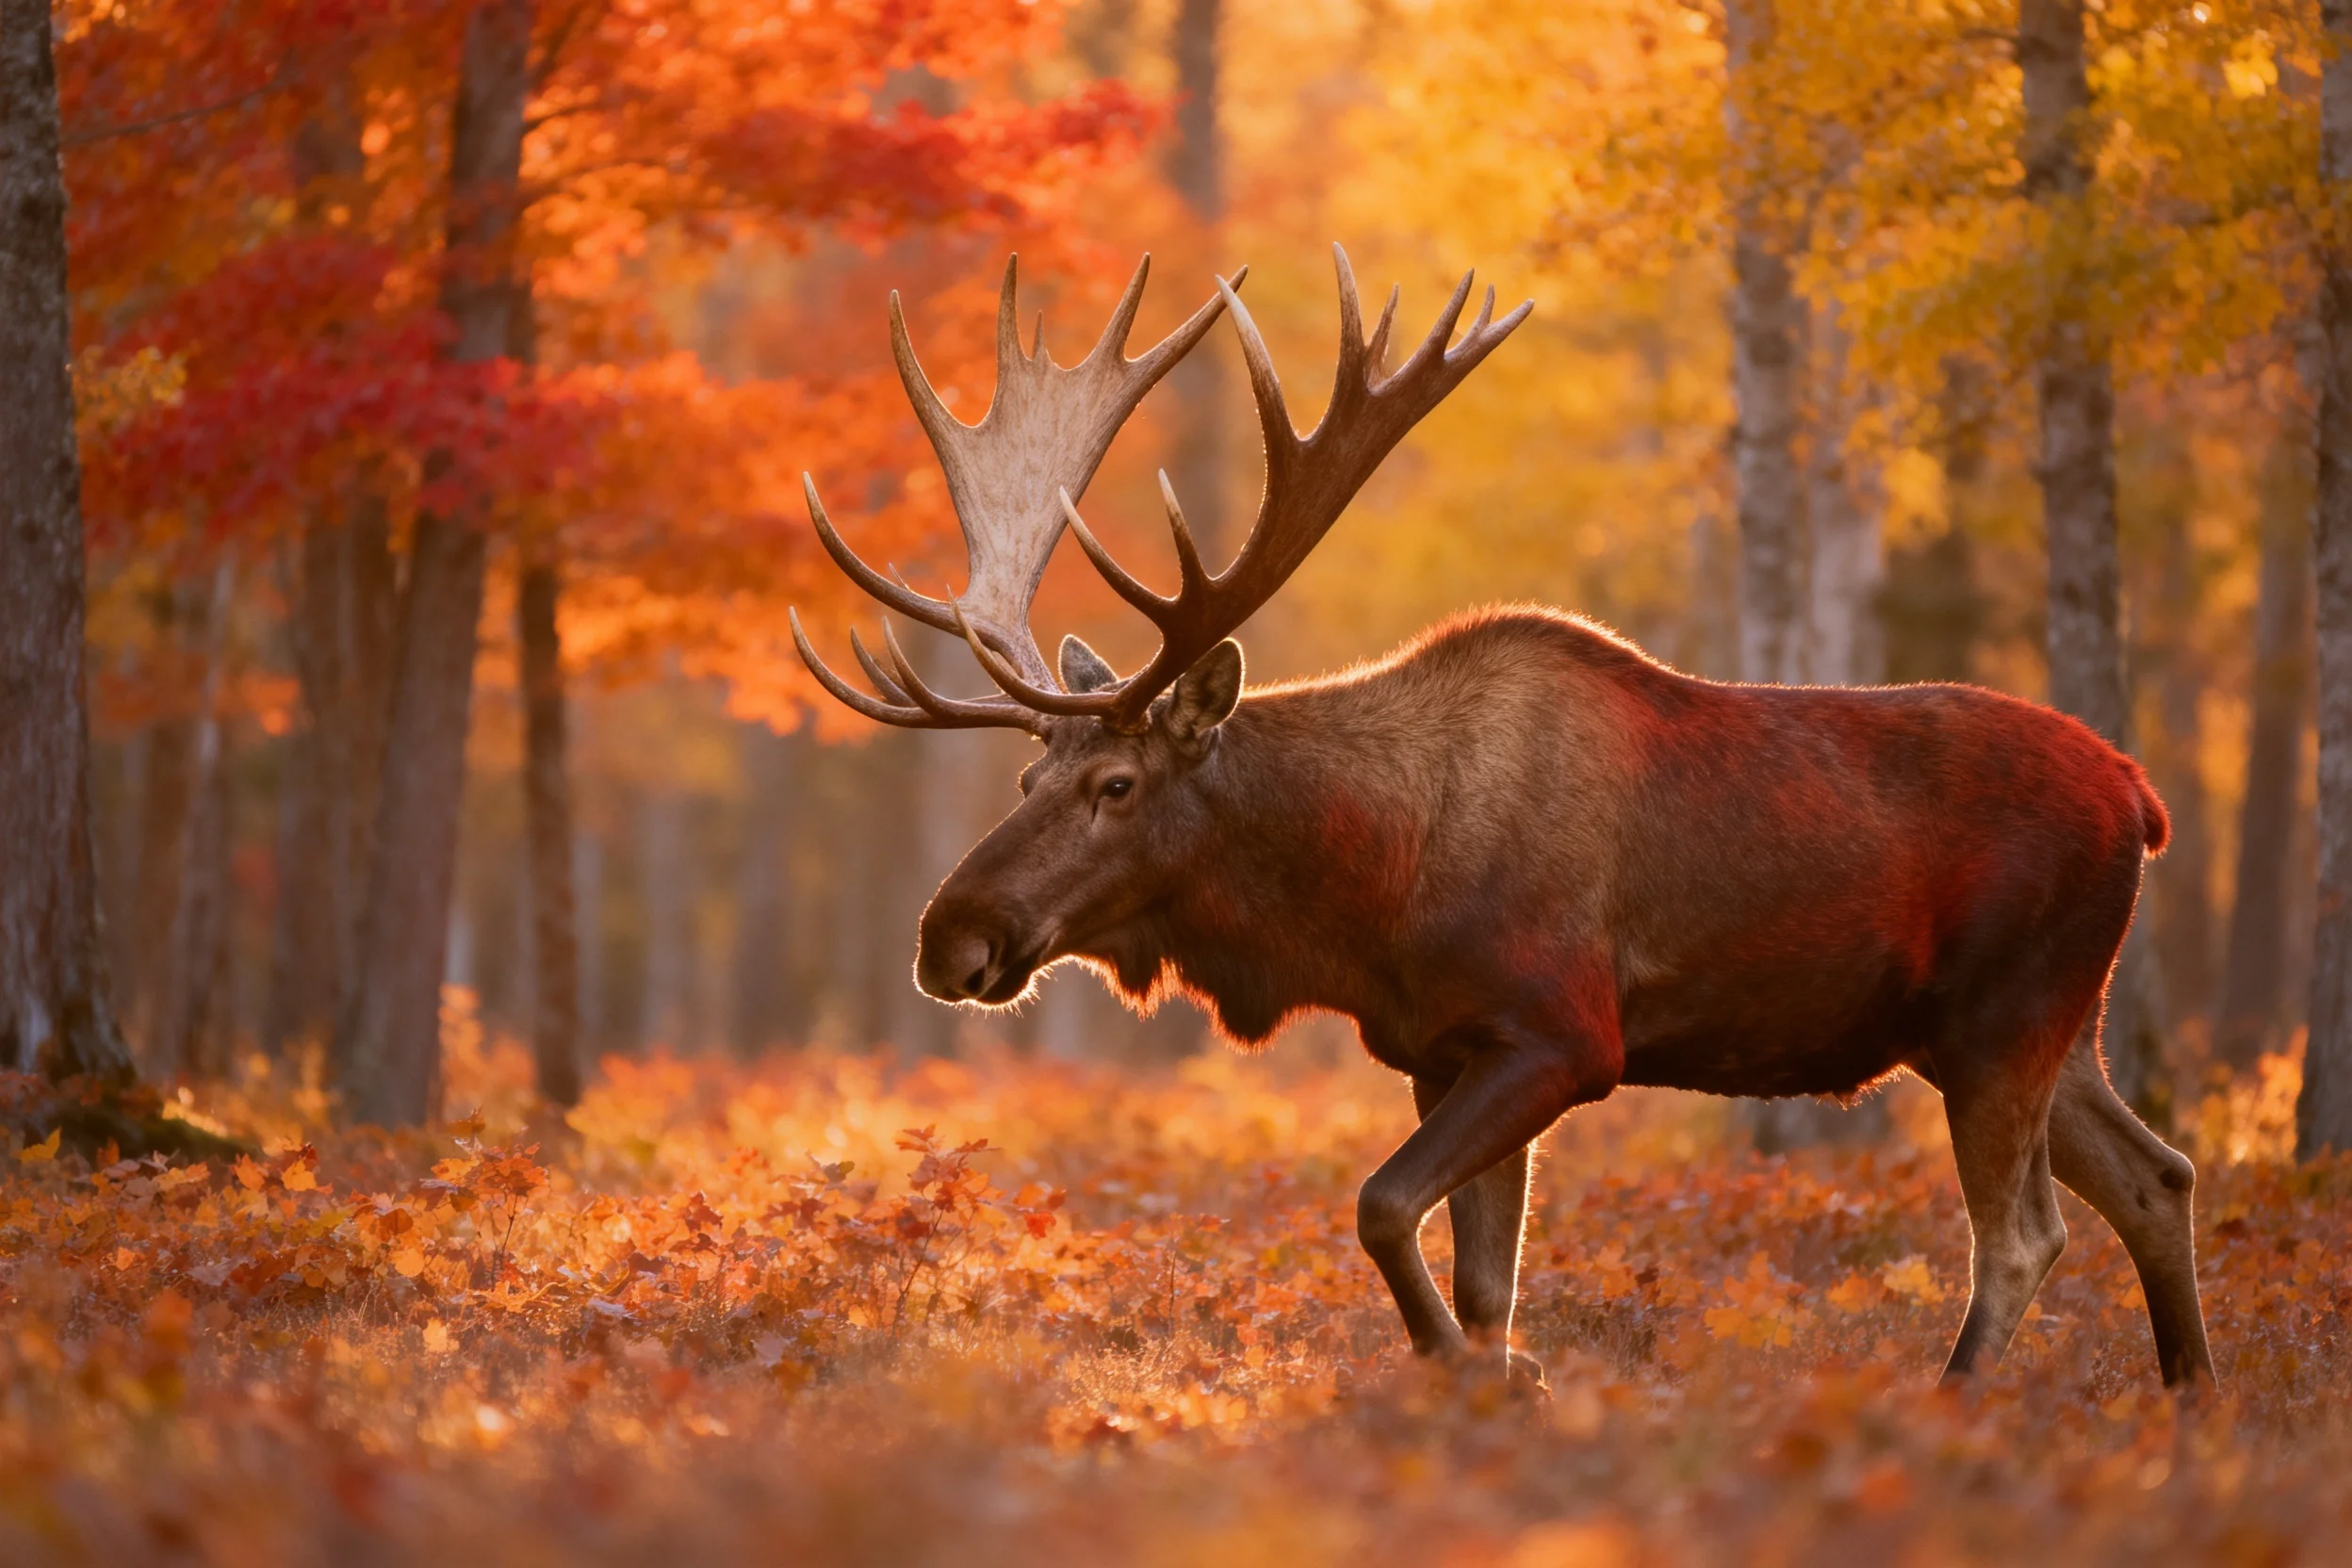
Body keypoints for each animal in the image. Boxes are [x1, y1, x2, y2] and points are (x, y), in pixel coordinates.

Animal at [788, 248, 2215, 1390]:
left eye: (1117, 786)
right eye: (1027, 782)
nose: (951, 935)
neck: (1369, 898)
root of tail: (2141, 799)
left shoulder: (1563, 1032)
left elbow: (1381, 1207)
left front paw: (1488, 1375)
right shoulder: (1443, 1045)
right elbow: (1480, 1272)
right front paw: (1495, 1379)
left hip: (2005, 1012)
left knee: (2023, 1232)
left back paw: (1958, 1403)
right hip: (2024, 1024)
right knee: (2160, 1176)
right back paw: (2190, 1396)